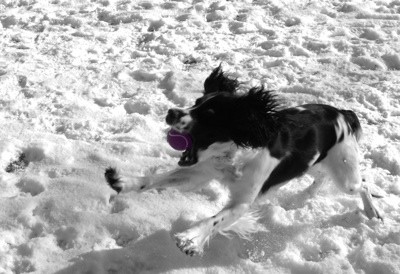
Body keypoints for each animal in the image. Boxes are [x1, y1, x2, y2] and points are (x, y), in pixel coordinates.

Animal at [104, 66, 382, 256]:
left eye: (209, 114)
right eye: (196, 102)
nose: (172, 112)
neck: (232, 153)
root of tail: (343, 113)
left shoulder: (242, 202)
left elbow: (214, 219)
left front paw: (190, 238)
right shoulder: (200, 172)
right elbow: (158, 178)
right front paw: (123, 181)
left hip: (345, 173)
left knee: (363, 182)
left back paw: (372, 212)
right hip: (317, 162)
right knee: (321, 176)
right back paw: (304, 196)